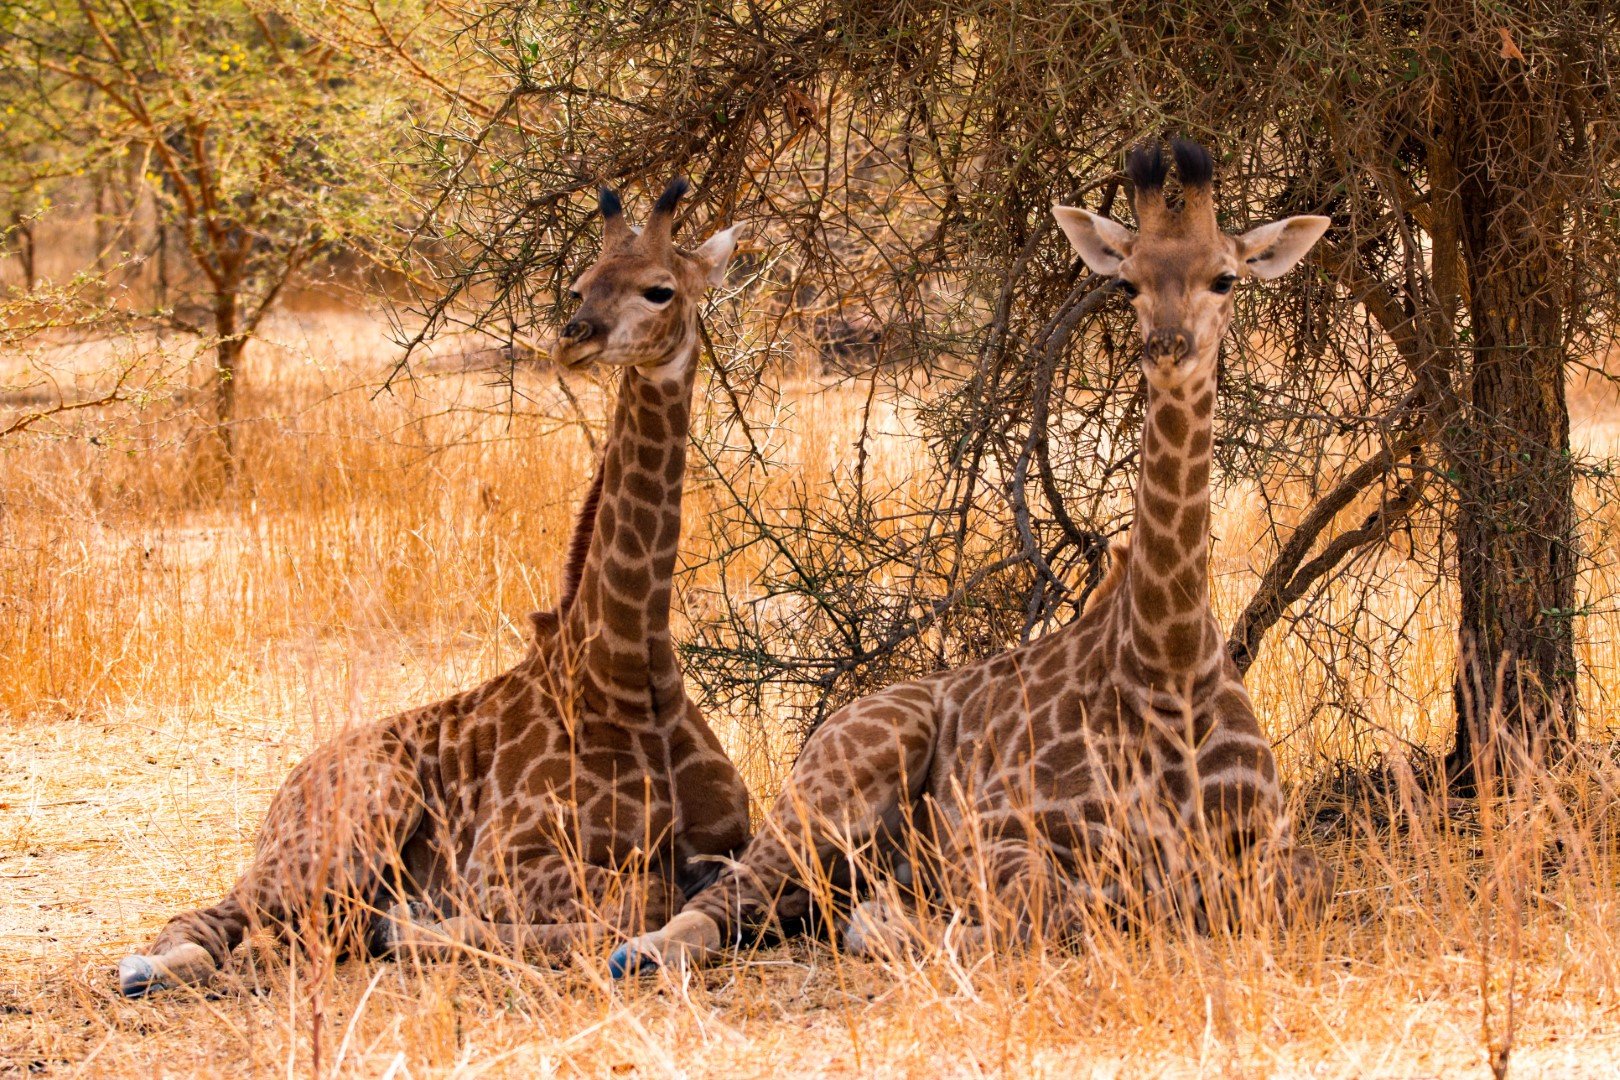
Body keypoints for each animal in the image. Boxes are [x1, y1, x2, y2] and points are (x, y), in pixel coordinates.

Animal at [119, 177, 751, 997]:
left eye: (659, 288)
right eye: (579, 283)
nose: (573, 336)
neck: (625, 667)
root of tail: (288, 786)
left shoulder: (737, 841)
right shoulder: (501, 866)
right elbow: (634, 897)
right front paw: (429, 929)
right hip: (361, 811)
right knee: (220, 920)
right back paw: (167, 965)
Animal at [612, 139, 1334, 977]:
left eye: (1225, 276)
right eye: (1126, 281)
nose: (1167, 347)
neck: (1168, 665)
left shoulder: (1274, 857)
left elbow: (1279, 888)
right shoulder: (992, 836)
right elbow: (1044, 912)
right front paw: (891, 927)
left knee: (784, 904)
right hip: (841, 775)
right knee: (724, 897)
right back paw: (645, 949)